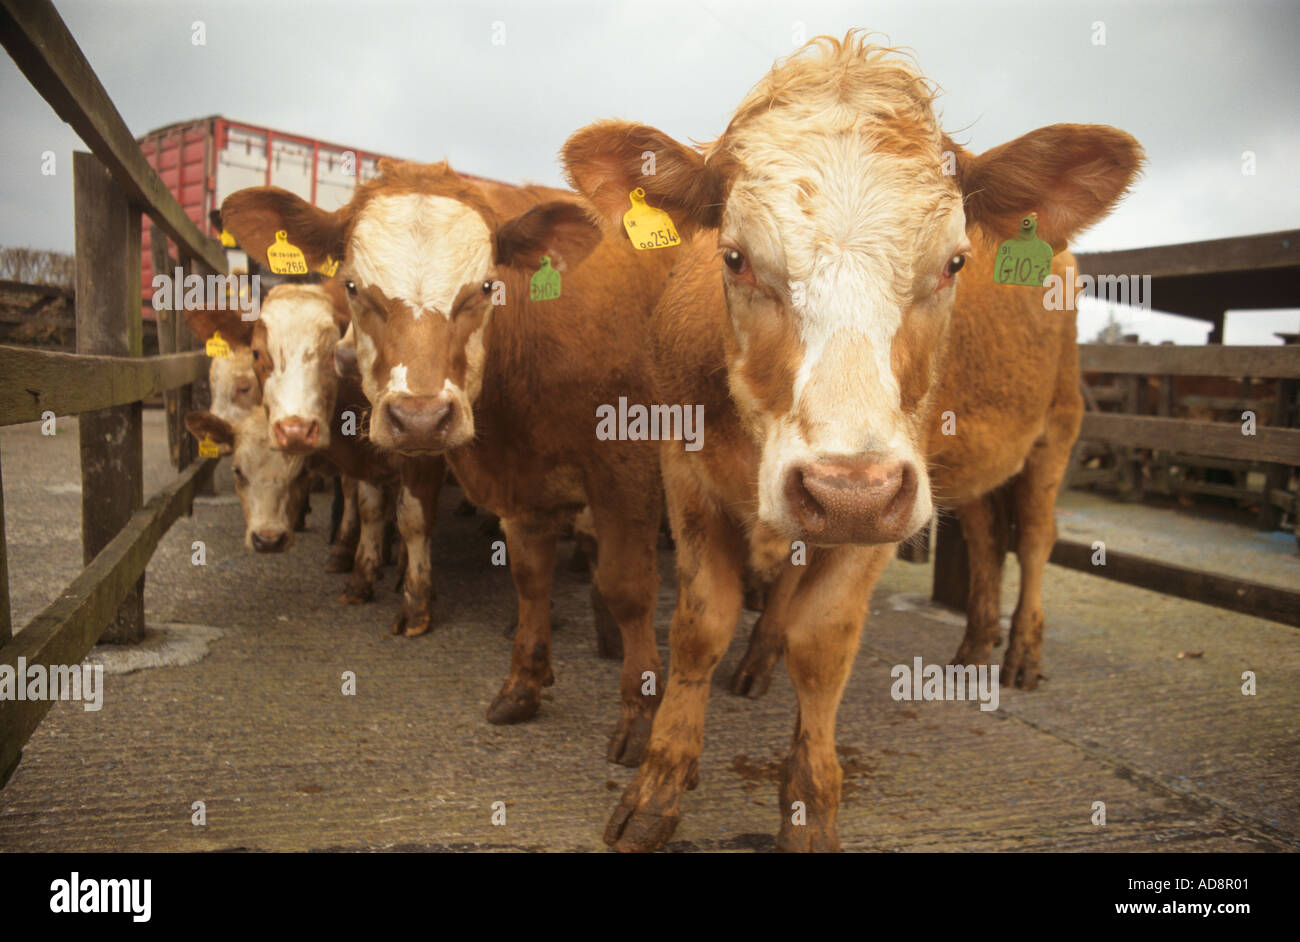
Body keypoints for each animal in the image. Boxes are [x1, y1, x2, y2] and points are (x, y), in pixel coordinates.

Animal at [217, 161, 676, 764]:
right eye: (353, 286)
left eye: (485, 287)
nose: (420, 417)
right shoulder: (517, 481)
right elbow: (529, 577)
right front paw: (523, 685)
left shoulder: (627, 472)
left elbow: (629, 588)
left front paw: (641, 718)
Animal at [562, 32, 1142, 850]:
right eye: (734, 256)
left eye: (955, 261)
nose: (846, 493)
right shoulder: (687, 470)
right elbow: (701, 626)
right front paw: (659, 786)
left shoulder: (888, 503)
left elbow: (823, 644)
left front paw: (808, 804)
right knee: (986, 536)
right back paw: (964, 647)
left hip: (1053, 431)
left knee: (1032, 538)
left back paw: (1020, 654)